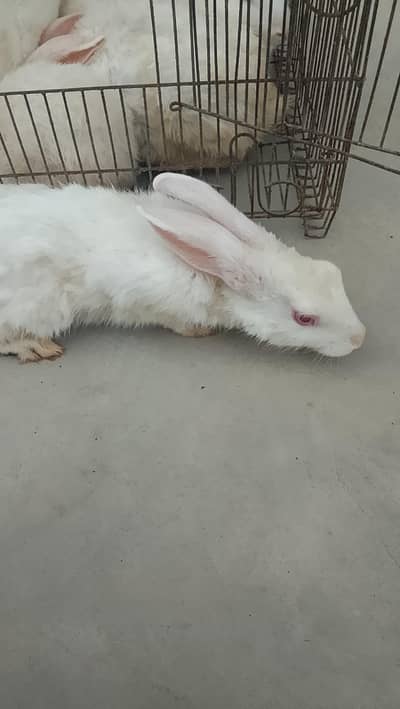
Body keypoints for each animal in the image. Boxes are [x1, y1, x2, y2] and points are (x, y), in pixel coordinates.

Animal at [0, 172, 365, 363]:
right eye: (304, 318)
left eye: (333, 271)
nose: (359, 339)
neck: (213, 275)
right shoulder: (152, 303)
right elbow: (175, 322)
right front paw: (200, 331)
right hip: (40, 308)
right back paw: (36, 348)